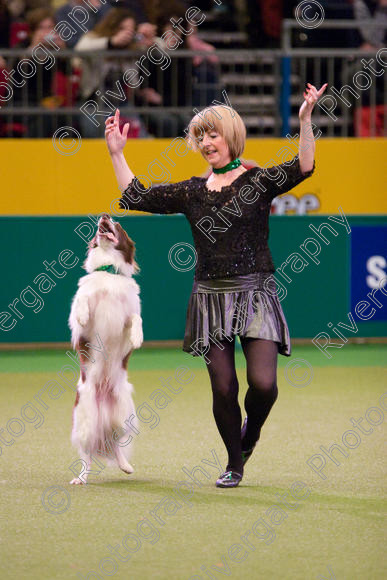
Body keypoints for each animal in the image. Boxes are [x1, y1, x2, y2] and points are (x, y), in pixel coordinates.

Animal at [69, 213, 143, 484]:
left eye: (119, 226)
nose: (105, 215)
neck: (108, 271)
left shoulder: (127, 313)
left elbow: (135, 318)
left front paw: (137, 337)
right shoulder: (84, 330)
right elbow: (82, 300)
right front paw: (81, 313)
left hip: (123, 415)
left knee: (116, 443)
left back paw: (126, 466)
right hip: (84, 423)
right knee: (87, 455)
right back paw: (81, 478)